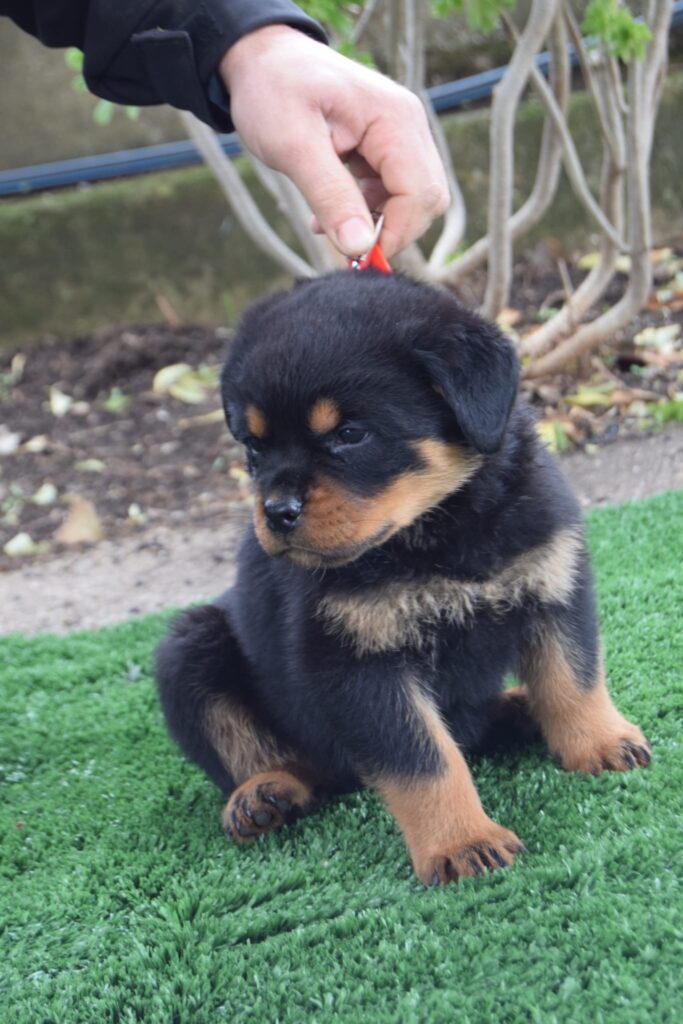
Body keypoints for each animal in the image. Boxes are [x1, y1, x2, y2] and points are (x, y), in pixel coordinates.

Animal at [156, 268, 651, 884]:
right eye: (253, 446)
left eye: (349, 435)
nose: (277, 512)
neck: (441, 532)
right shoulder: (358, 663)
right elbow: (425, 760)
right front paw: (462, 842)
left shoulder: (554, 583)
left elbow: (573, 680)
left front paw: (600, 742)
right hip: (190, 646)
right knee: (281, 759)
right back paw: (263, 794)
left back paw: (520, 708)